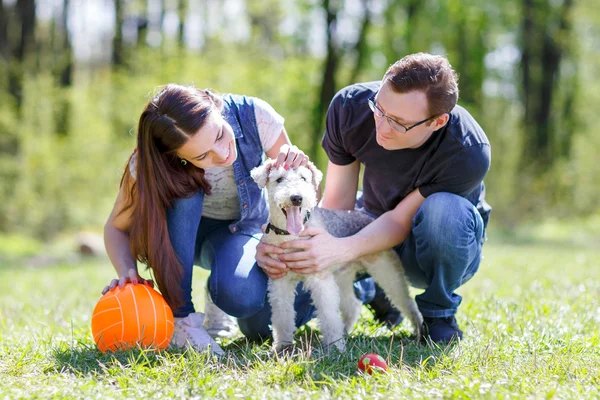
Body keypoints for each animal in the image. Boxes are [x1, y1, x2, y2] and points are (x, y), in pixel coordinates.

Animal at [251, 160, 424, 354]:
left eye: (304, 178)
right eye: (279, 179)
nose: (297, 197)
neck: (290, 235)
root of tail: (369, 218)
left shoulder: (320, 280)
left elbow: (328, 315)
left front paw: (334, 347)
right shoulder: (280, 282)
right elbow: (283, 316)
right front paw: (282, 345)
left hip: (388, 273)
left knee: (408, 303)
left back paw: (418, 333)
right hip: (342, 278)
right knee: (352, 305)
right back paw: (345, 332)